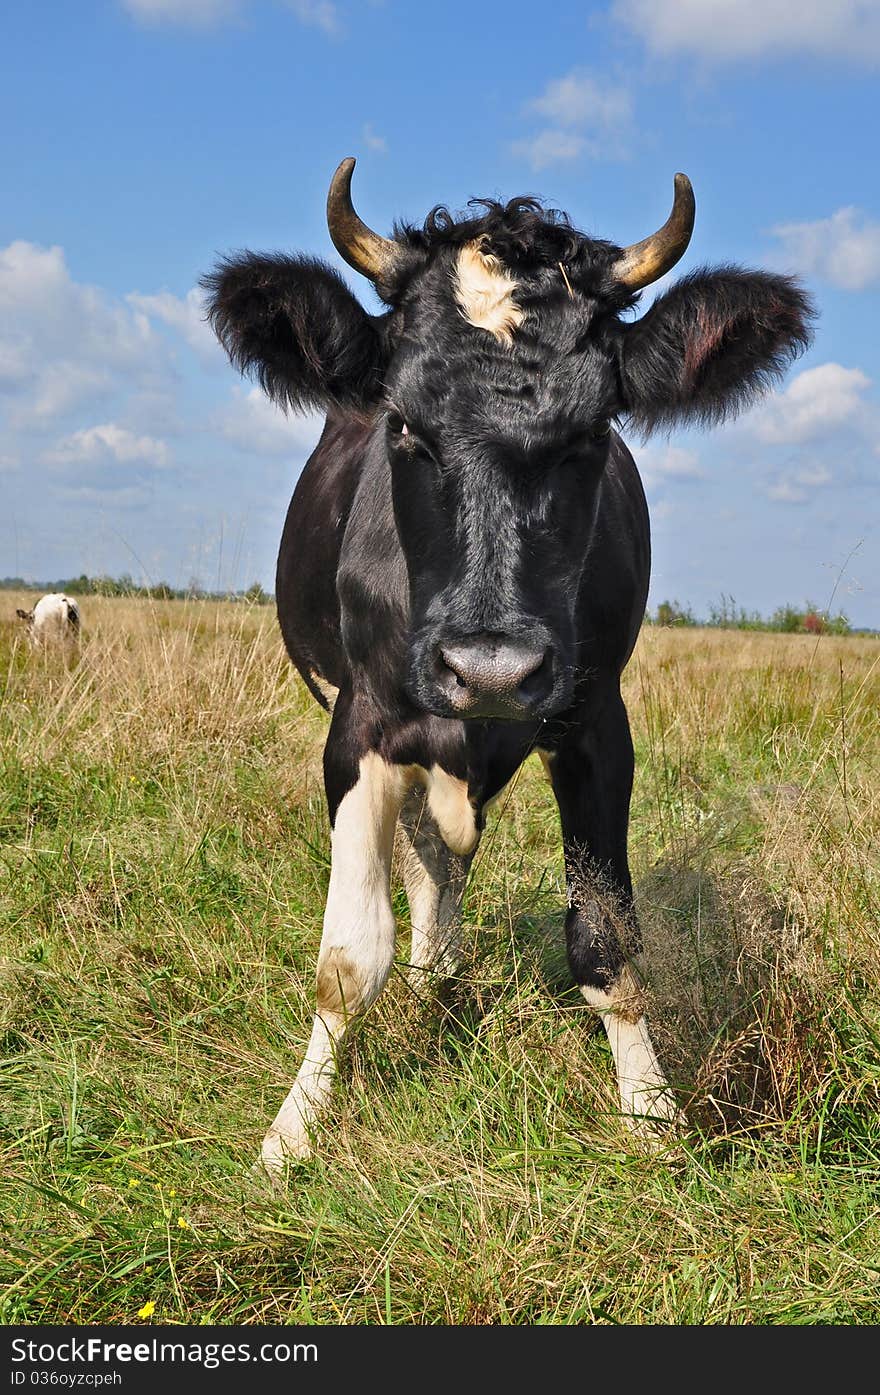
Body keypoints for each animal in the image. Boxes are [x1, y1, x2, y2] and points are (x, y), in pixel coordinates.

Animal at [203, 158, 814, 1171]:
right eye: (403, 424)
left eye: (595, 429)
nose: (489, 669)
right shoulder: (359, 726)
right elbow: (347, 959)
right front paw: (292, 1133)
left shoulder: (596, 720)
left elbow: (605, 937)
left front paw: (652, 1117)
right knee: (425, 859)